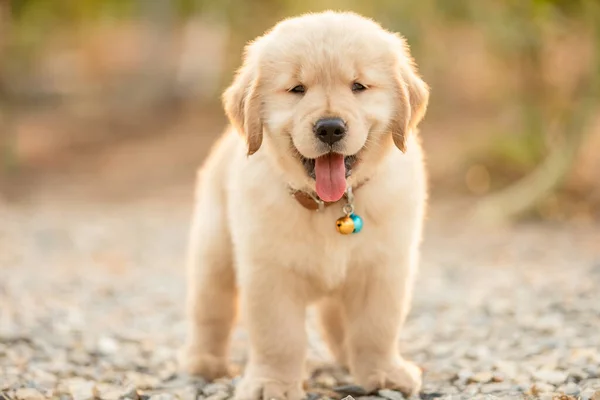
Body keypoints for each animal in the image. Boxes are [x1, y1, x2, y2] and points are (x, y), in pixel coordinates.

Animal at [180, 9, 428, 400]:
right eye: (297, 89)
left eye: (358, 86)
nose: (330, 128)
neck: (329, 206)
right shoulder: (269, 272)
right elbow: (279, 338)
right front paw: (272, 384)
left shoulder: (384, 267)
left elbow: (376, 327)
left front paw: (384, 373)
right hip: (214, 250)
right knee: (211, 309)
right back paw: (205, 362)